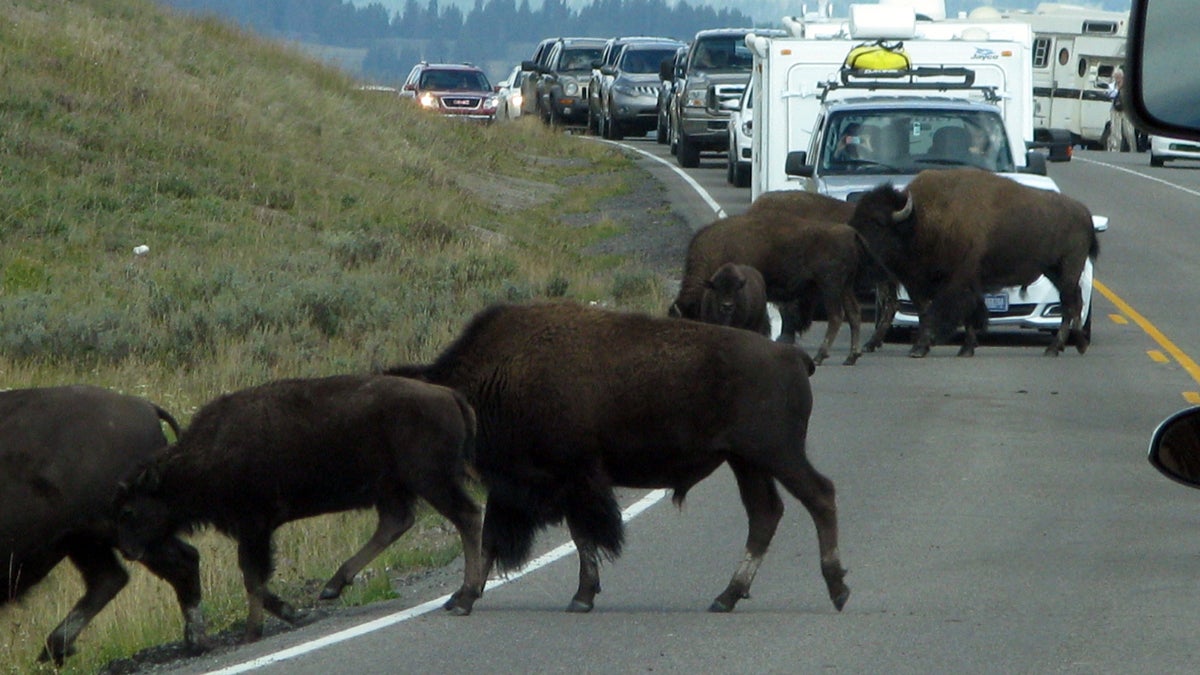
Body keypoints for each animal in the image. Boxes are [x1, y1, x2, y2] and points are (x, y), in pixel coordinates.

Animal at [0, 384, 204, 662]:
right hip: (84, 542)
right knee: (110, 578)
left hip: (119, 536)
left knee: (180, 563)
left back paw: (196, 640)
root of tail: (145, 406)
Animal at [112, 372, 484, 638]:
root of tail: (448, 395)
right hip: (394, 488)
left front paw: (255, 630)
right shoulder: (254, 531)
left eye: (129, 510)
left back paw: (464, 598)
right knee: (396, 523)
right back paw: (333, 586)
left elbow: (252, 576)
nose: (129, 551)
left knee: (467, 517)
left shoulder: (254, 527)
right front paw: (290, 614)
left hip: (430, 481)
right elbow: (255, 578)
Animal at [388, 302, 849, 612]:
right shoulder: (526, 486)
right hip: (747, 463)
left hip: (777, 454)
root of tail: (790, 355)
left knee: (819, 496)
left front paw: (579, 597)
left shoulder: (571, 480)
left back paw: (837, 589)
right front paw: (463, 597)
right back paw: (727, 596)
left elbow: (580, 536)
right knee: (765, 515)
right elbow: (499, 539)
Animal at [844, 168, 1099, 355]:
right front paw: (965, 348)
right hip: (1054, 271)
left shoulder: (957, 281)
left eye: (878, 224)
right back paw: (1076, 345)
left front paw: (921, 347)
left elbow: (947, 310)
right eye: (855, 222)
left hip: (1068, 269)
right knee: (1074, 303)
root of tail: (1084, 213)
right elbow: (941, 312)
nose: (858, 251)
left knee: (1069, 304)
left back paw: (1055, 348)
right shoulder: (923, 283)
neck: (919, 221)